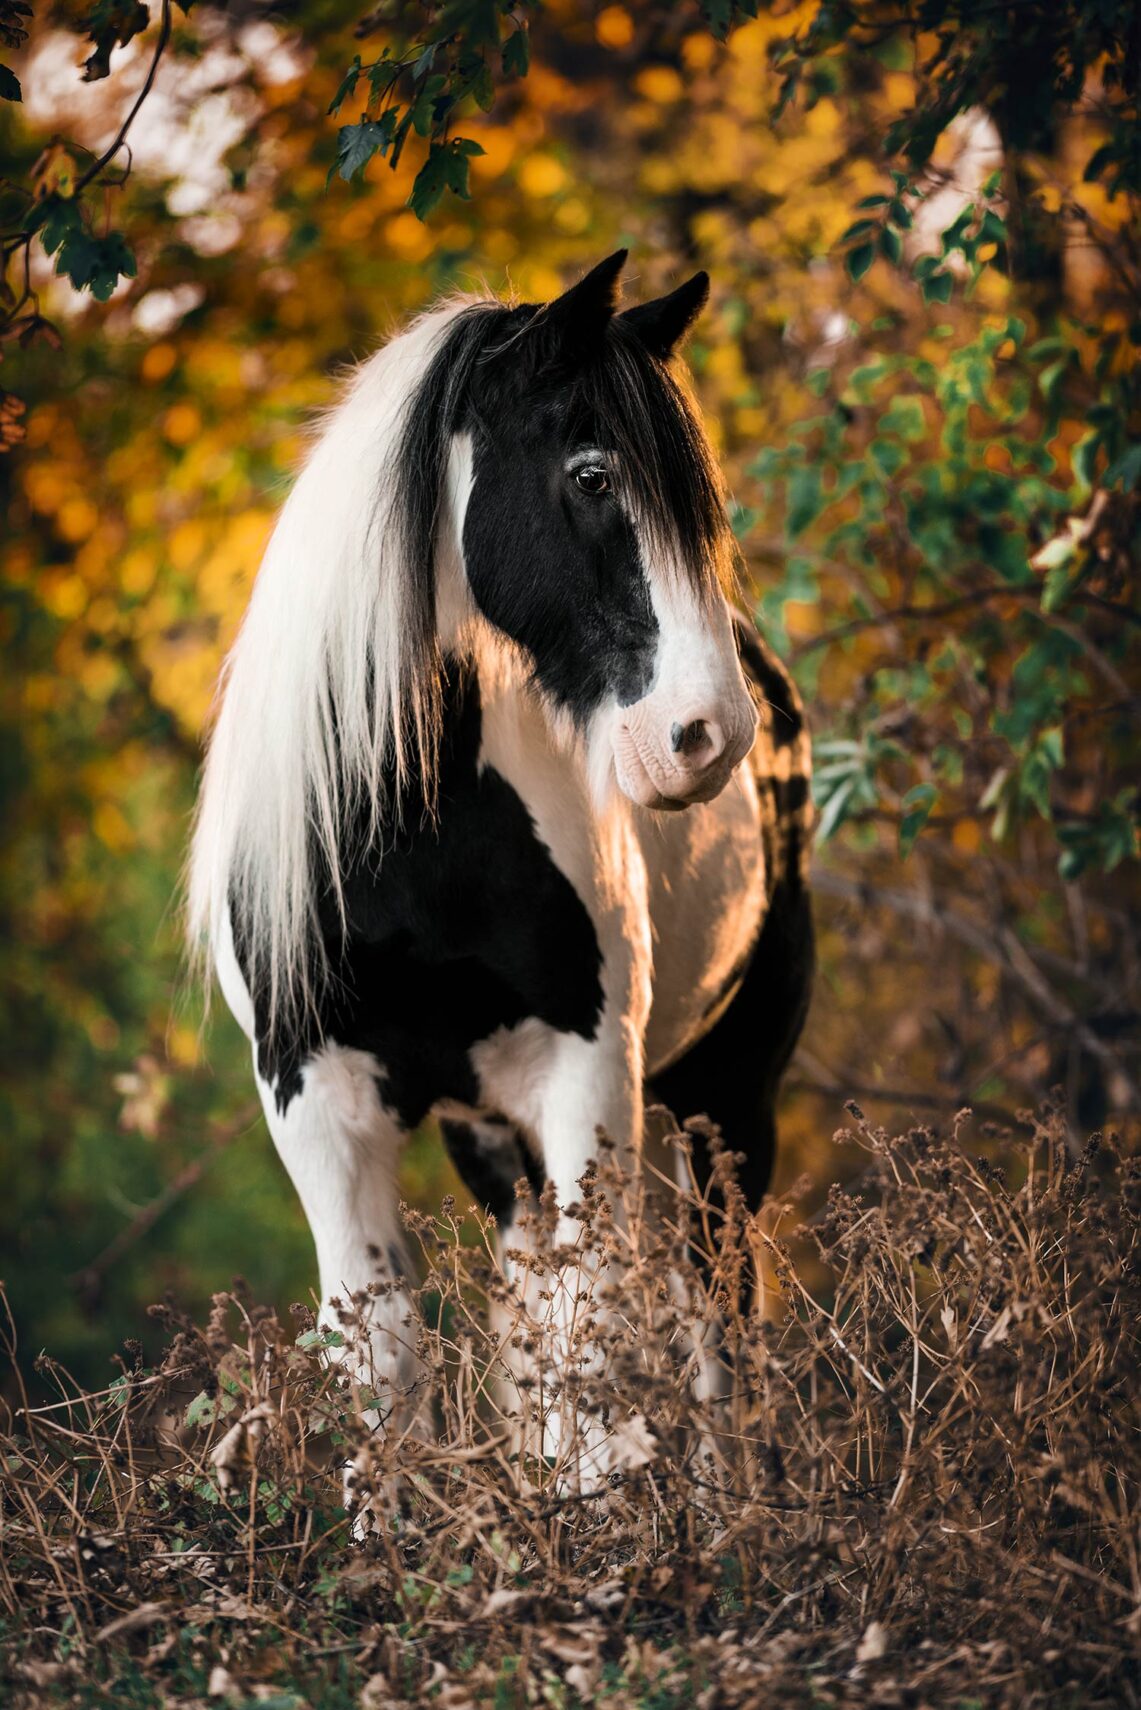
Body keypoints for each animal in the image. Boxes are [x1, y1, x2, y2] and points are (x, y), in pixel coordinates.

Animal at [189, 250, 813, 1466]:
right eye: (591, 476)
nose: (708, 735)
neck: (402, 848)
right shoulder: (320, 1113)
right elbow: (391, 1393)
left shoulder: (585, 1079)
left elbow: (595, 1392)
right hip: (498, 1144)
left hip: (723, 1100)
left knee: (718, 1338)